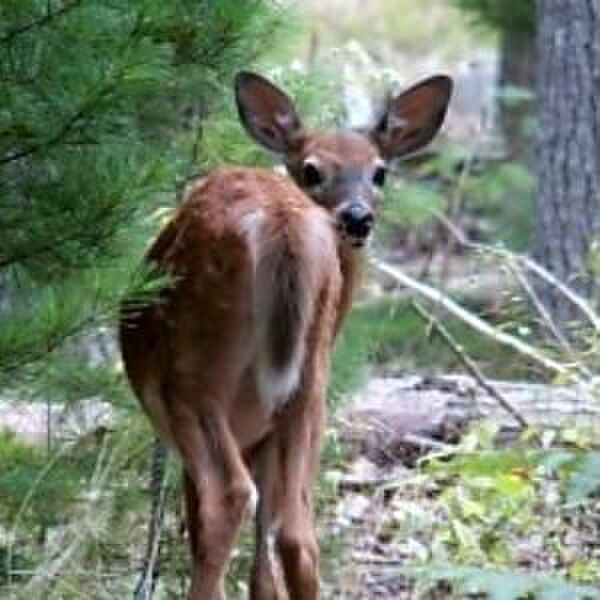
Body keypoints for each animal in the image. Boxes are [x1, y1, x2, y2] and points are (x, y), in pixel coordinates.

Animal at [119, 68, 452, 596]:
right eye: (312, 169)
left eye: (380, 171)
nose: (358, 217)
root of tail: (283, 225)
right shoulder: (272, 431)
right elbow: (265, 562)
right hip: (309, 385)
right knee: (300, 537)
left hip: (195, 374)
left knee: (227, 498)